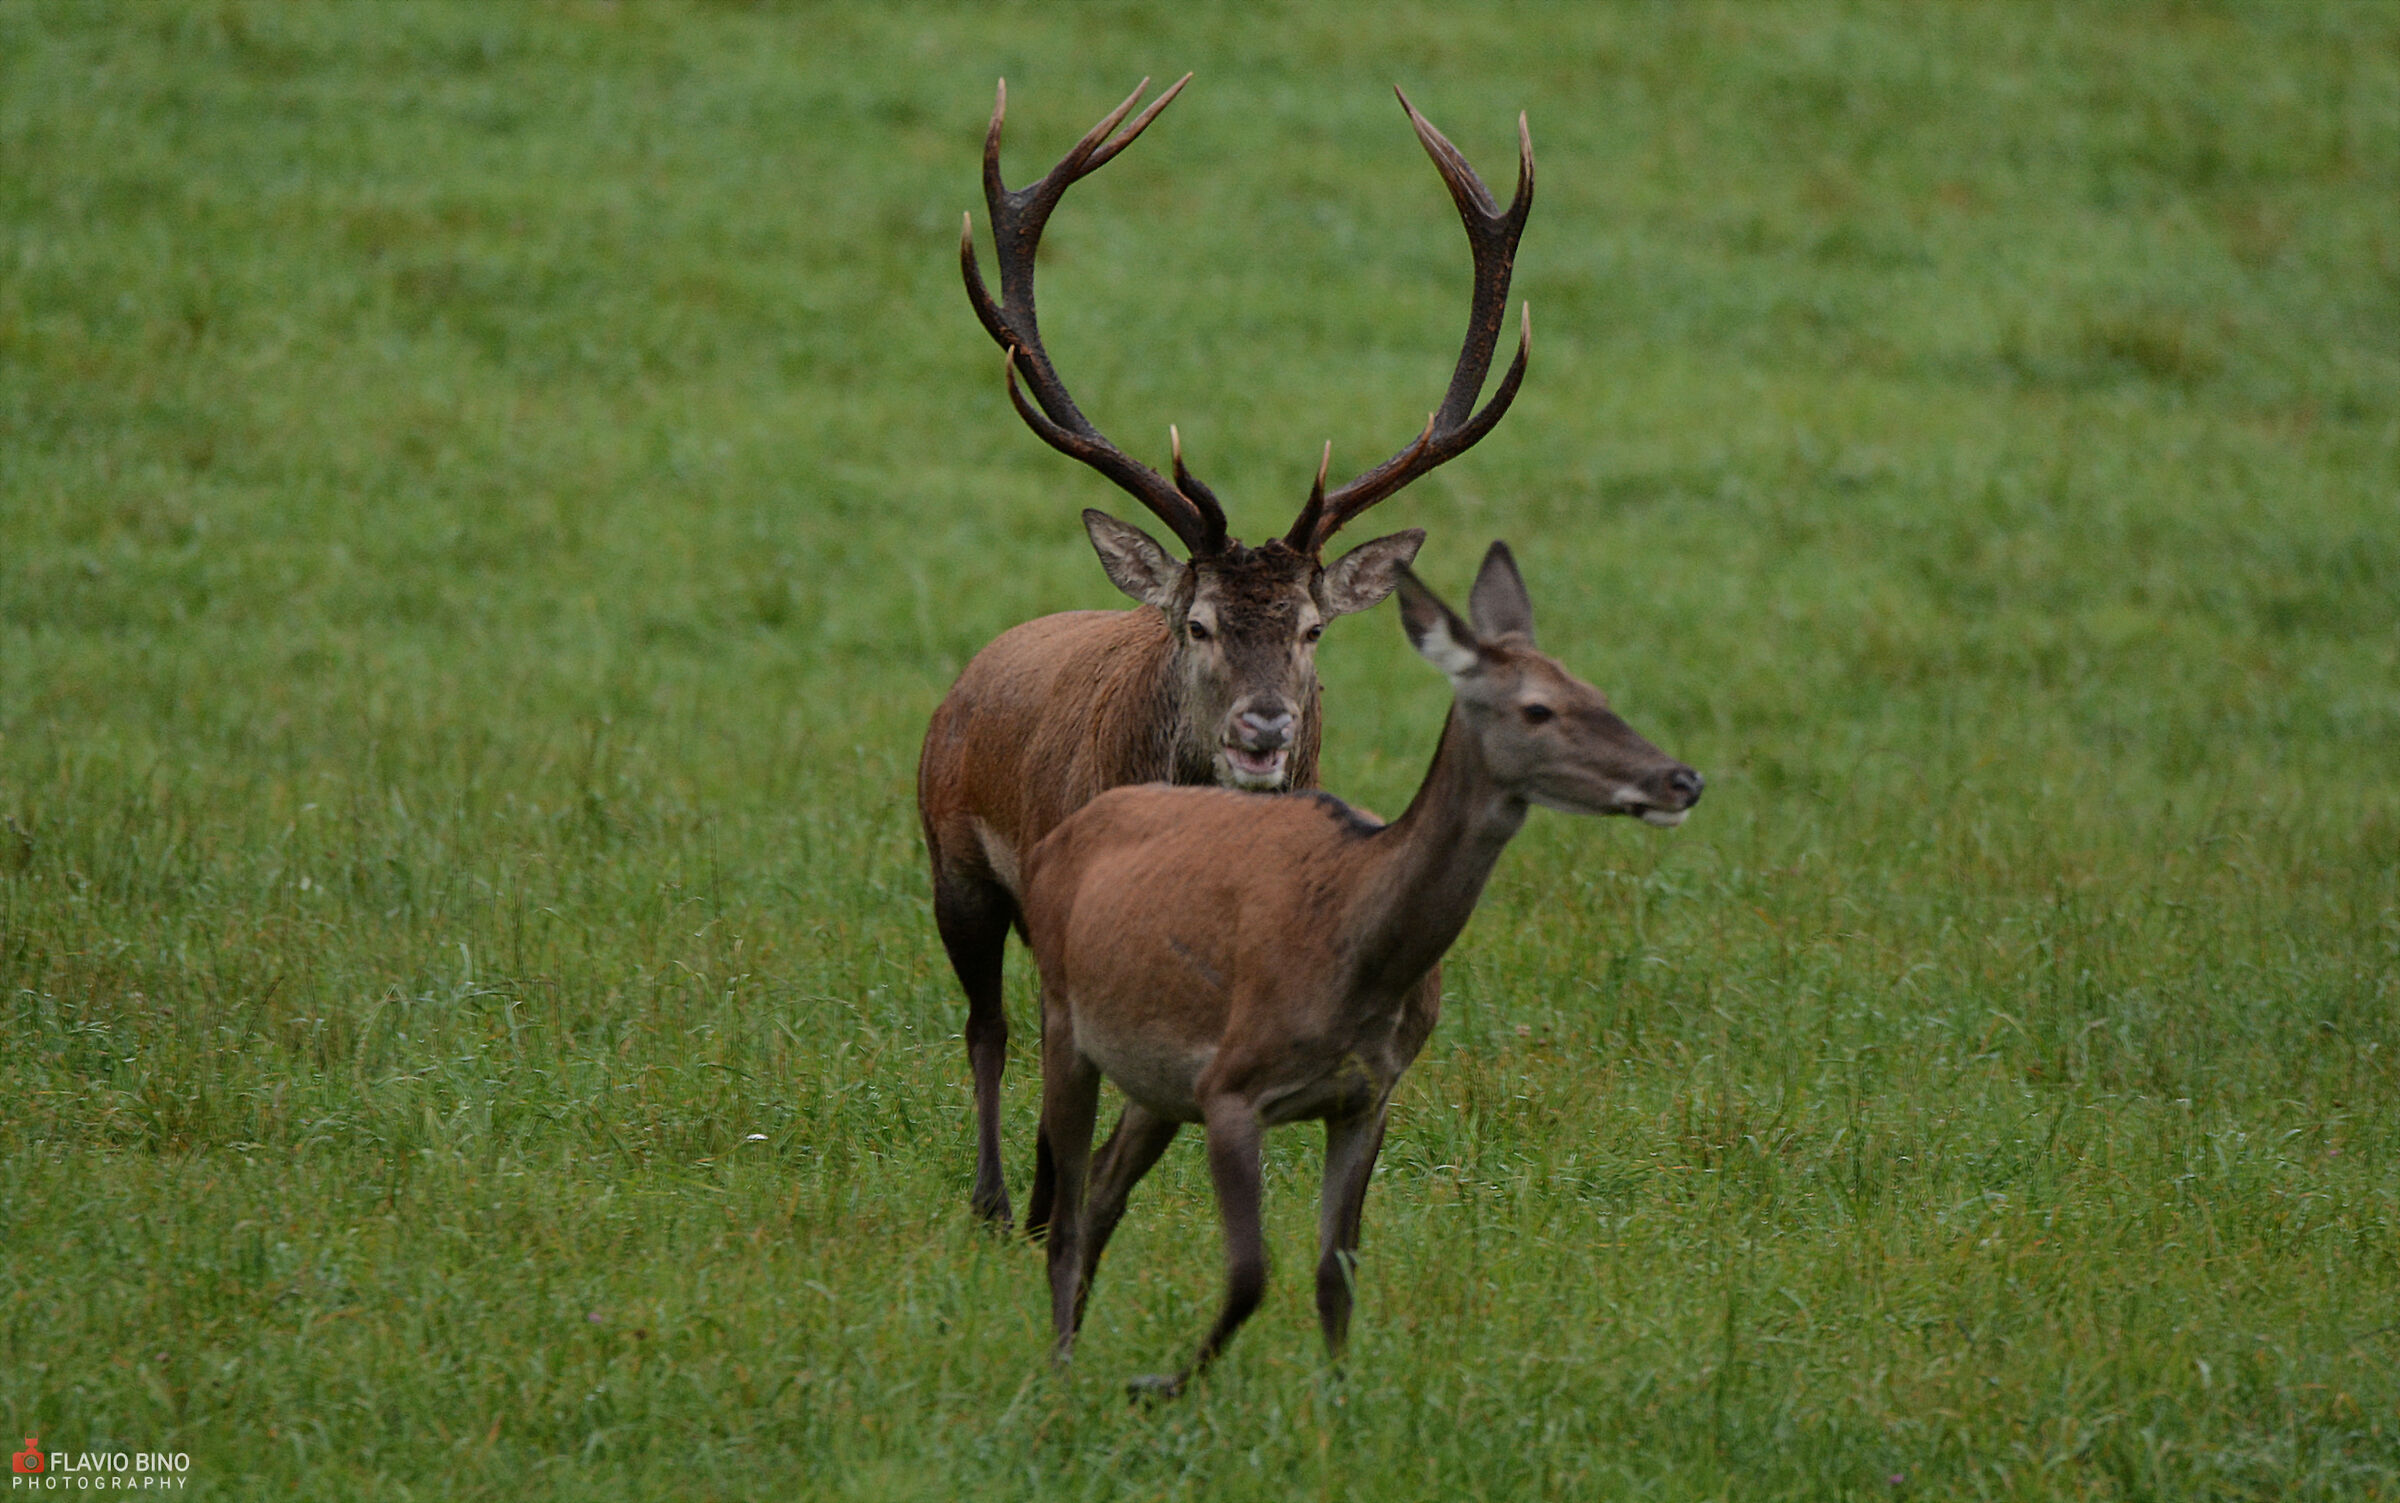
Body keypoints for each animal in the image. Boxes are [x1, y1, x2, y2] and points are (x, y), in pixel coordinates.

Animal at [920, 76, 1537, 1232]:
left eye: (1310, 628)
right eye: (1196, 623)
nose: (1265, 728)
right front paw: (1047, 1210)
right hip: (955, 866)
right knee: (987, 1029)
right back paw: (995, 1198)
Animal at [1017, 541, 1703, 1397]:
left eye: (1599, 692)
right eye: (1538, 709)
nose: (1682, 780)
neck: (1355, 959)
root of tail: (1057, 839)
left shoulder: (1367, 1095)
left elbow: (1335, 1268)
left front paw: (1336, 1398)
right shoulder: (1231, 1085)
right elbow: (1249, 1272)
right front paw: (1159, 1384)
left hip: (1155, 1076)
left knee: (1107, 1183)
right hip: (1063, 1016)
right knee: (1068, 1209)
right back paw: (1059, 1366)